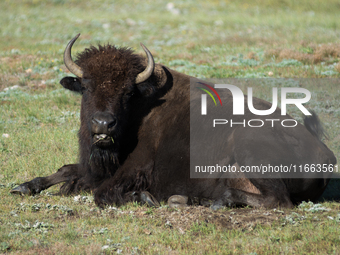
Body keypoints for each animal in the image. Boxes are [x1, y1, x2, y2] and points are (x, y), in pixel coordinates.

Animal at [9, 34, 334, 209]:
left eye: (128, 92)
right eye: (85, 86)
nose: (103, 124)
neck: (142, 105)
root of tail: (326, 154)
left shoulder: (132, 169)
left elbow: (102, 193)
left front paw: (144, 197)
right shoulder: (96, 166)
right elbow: (67, 169)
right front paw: (24, 186)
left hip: (250, 149)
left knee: (278, 200)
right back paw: (188, 200)